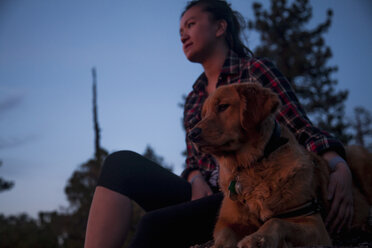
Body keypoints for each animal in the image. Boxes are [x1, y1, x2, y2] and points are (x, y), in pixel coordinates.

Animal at [189, 82, 372, 247]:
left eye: (223, 106)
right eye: (204, 114)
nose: (192, 134)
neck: (250, 165)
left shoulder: (314, 224)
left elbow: (276, 221)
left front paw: (257, 239)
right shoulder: (227, 221)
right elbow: (224, 236)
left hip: (357, 154)